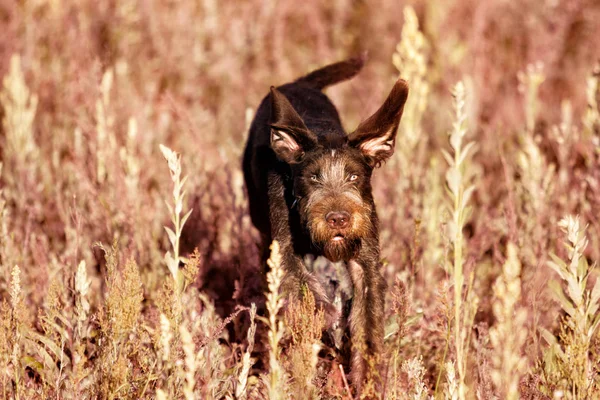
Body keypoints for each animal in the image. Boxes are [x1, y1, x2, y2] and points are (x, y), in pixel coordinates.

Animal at [243, 57, 408, 394]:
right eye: (313, 177)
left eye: (354, 176)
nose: (338, 218)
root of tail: (299, 83)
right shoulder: (287, 257)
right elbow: (308, 293)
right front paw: (326, 322)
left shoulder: (366, 266)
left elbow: (368, 328)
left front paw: (366, 385)